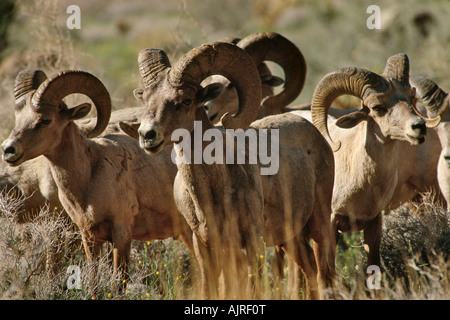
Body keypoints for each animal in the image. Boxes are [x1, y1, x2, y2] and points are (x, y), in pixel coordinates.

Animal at [1, 69, 192, 282]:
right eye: (18, 118)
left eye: (45, 120)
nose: (8, 149)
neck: (89, 177)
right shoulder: (89, 238)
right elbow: (93, 279)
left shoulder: (121, 234)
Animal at [128, 41, 336, 298]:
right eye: (146, 98)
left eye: (186, 100)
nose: (147, 135)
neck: (210, 195)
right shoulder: (204, 245)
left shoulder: (253, 241)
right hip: (291, 238)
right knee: (310, 272)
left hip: (319, 221)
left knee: (324, 272)